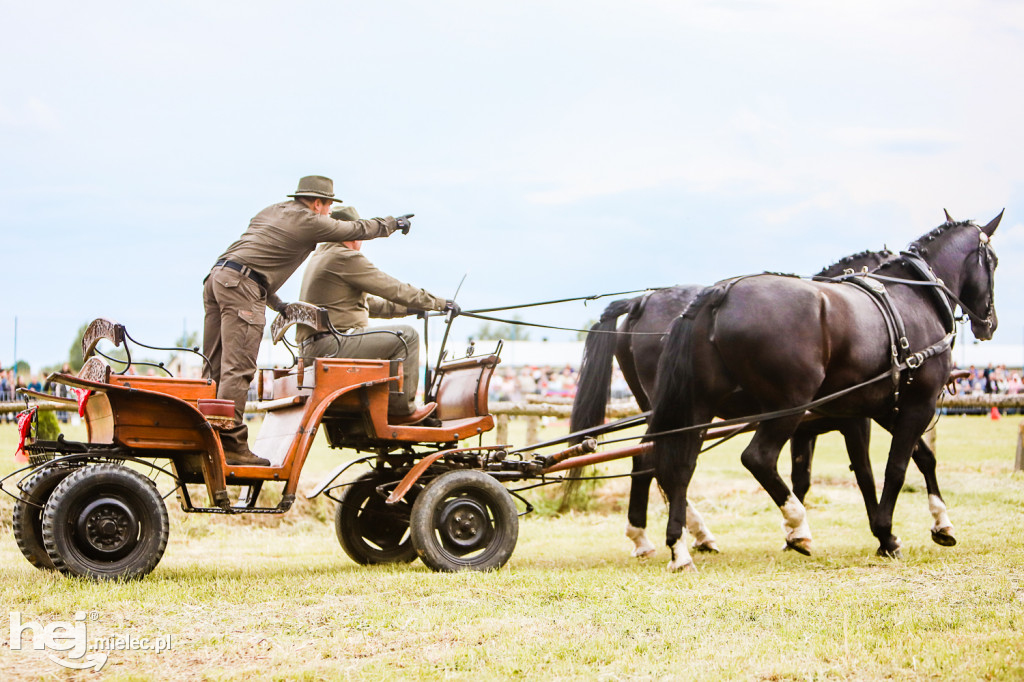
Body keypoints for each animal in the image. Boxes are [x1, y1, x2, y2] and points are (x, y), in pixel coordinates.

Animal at [569, 246, 905, 557]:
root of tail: (640, 302)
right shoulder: (853, 420)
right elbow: (867, 471)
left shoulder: (805, 430)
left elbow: (803, 478)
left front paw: (792, 535)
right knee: (657, 460)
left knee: (653, 460)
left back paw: (661, 536)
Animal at [647, 214, 999, 569]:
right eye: (993, 261)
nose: (990, 323)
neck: (913, 299)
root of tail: (720, 293)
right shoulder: (917, 404)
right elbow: (894, 468)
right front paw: (888, 532)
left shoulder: (880, 408)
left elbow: (915, 459)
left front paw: (934, 525)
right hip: (786, 407)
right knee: (757, 458)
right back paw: (797, 526)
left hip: (698, 408)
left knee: (680, 467)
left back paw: (680, 549)